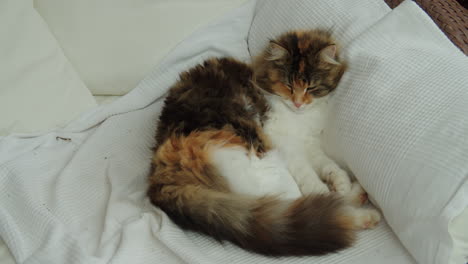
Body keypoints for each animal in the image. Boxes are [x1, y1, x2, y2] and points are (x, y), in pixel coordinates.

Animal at [148, 29, 382, 256]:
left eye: (311, 88)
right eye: (288, 86)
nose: (298, 103)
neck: (299, 117)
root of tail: (158, 177)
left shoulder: (308, 143)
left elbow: (328, 165)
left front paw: (340, 181)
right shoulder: (287, 146)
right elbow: (312, 180)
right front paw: (330, 187)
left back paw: (356, 192)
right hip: (263, 159)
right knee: (314, 205)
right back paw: (364, 213)